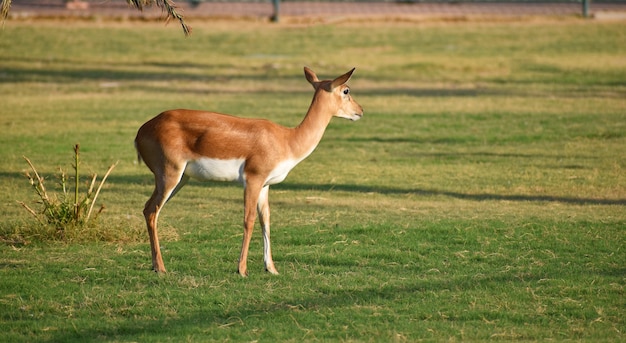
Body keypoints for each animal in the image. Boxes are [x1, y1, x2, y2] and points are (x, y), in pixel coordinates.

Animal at [136, 66, 360, 276]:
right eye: (346, 90)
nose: (360, 110)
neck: (287, 140)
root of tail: (142, 130)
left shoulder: (265, 185)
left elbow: (265, 220)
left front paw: (271, 268)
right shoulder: (253, 179)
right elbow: (249, 219)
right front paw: (242, 269)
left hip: (181, 179)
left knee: (150, 210)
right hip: (169, 175)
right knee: (151, 210)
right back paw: (160, 268)